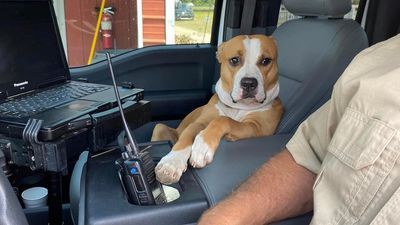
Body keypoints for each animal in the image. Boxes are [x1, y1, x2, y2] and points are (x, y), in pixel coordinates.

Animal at [152, 34, 282, 184]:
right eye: (234, 60)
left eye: (266, 61)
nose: (249, 83)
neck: (238, 107)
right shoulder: (201, 122)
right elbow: (188, 134)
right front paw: (172, 163)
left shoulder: (256, 128)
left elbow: (223, 120)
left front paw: (203, 145)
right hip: (160, 127)